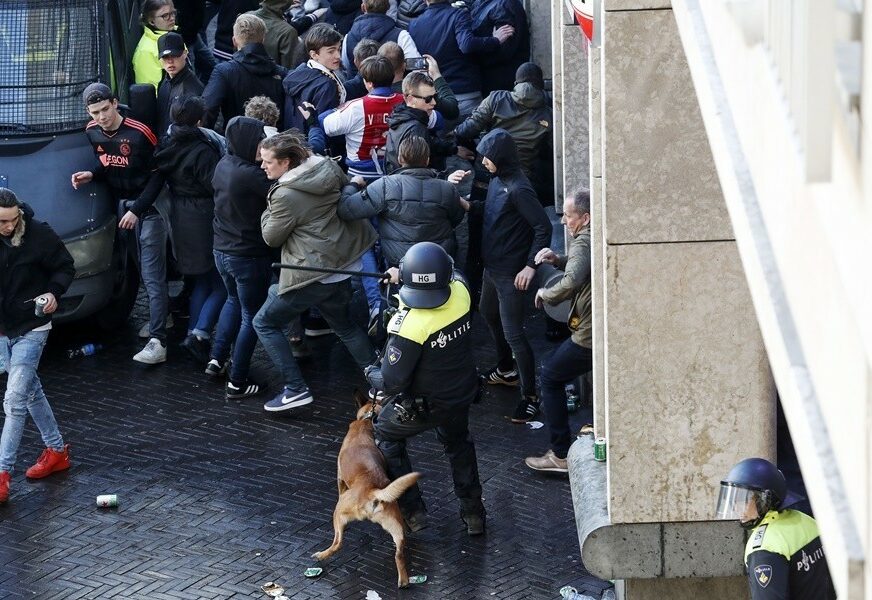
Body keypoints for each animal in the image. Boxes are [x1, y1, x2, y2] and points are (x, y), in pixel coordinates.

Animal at [314, 386, 422, 588]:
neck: (367, 420)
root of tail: (373, 492)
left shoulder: (339, 477)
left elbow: (339, 487)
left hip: (338, 510)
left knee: (338, 542)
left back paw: (321, 555)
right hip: (395, 527)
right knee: (399, 554)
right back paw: (403, 581)